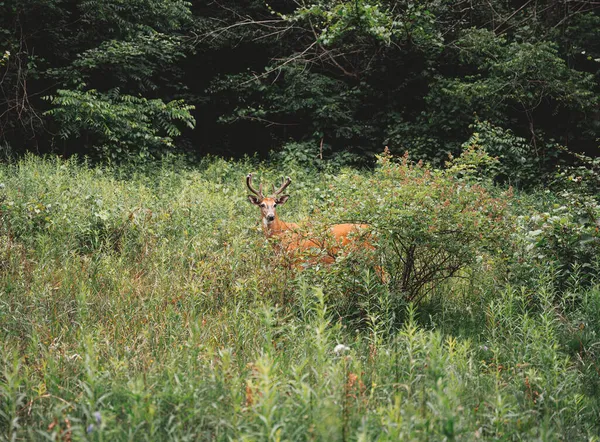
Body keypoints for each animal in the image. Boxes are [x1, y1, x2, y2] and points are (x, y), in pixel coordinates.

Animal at [244, 174, 376, 266]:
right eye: (262, 205)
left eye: (275, 204)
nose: (271, 216)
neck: (283, 233)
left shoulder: (298, 260)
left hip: (371, 254)